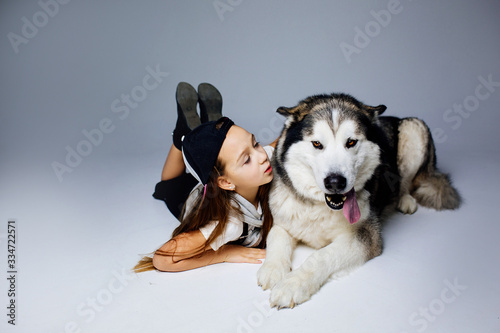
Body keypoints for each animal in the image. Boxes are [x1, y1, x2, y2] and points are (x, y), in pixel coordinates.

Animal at [258, 92, 460, 308]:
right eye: (317, 144)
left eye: (351, 142)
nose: (335, 182)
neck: (320, 207)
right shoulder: (283, 221)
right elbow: (275, 237)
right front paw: (273, 268)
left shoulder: (366, 236)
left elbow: (321, 256)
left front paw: (293, 283)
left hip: (414, 127)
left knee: (405, 181)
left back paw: (404, 200)